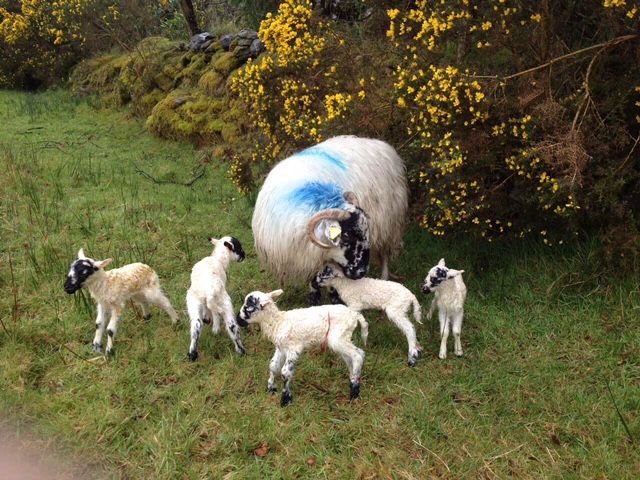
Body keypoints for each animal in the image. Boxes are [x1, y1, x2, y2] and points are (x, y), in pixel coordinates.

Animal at [236, 289, 368, 407]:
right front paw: (271, 389)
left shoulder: (294, 348)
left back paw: (354, 393)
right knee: (353, 357)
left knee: (358, 355)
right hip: (342, 339)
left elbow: (285, 372)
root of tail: (354, 315)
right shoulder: (281, 348)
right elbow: (273, 366)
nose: (238, 319)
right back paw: (353, 381)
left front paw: (285, 400)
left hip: (339, 337)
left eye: (248, 308)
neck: (278, 322)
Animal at [251, 135, 408, 304]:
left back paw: (384, 276)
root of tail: (379, 143)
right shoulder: (312, 255)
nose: (361, 272)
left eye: (366, 231)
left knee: (385, 252)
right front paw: (314, 300)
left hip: (390, 220)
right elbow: (314, 283)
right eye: (346, 236)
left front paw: (335, 299)